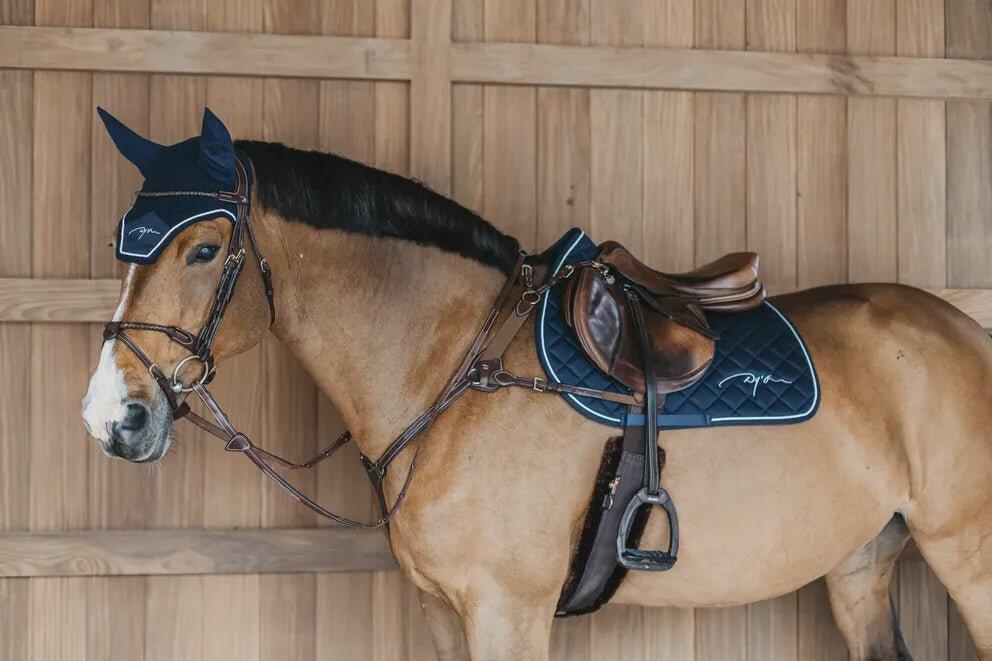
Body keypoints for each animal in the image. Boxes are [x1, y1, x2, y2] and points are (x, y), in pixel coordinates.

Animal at [82, 109, 992, 660]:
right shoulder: (445, 611)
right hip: (862, 563)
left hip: (969, 560)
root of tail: (967, 334)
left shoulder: (507, 611)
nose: (112, 417)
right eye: (125, 243)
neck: (454, 370)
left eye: (203, 249)